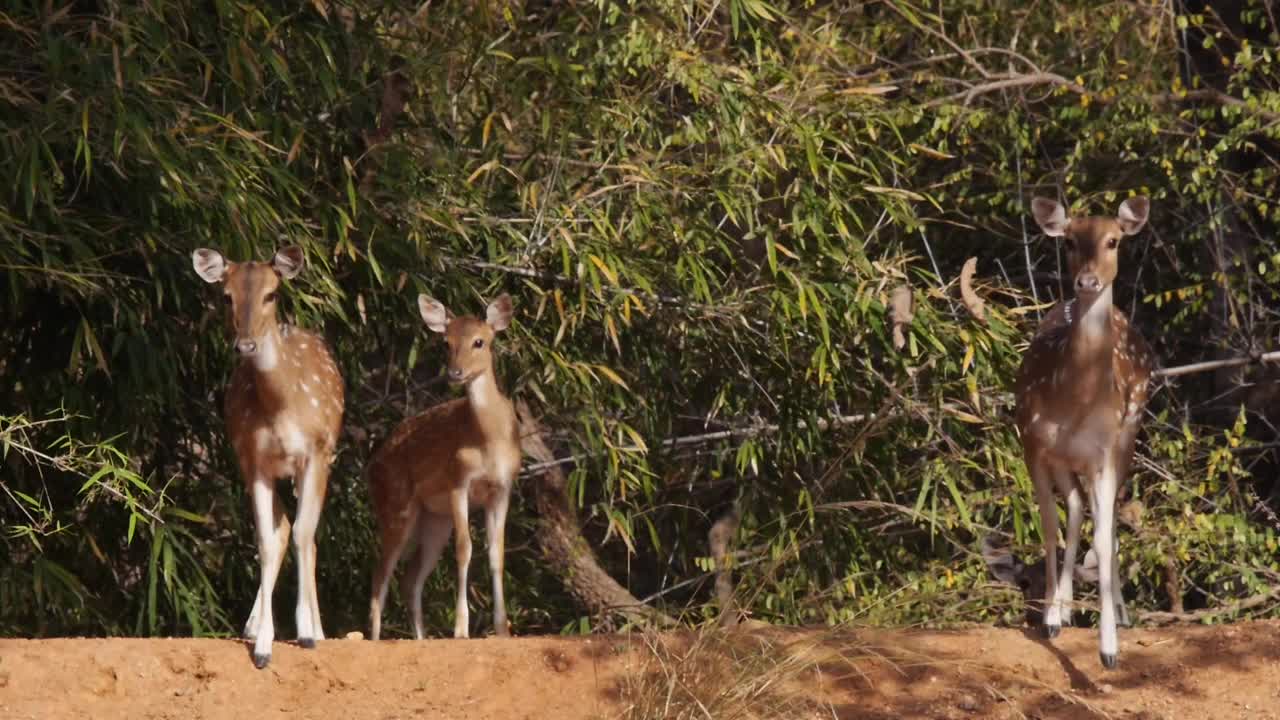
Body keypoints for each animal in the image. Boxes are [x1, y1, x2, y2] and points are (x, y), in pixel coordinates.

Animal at [186, 244, 343, 666]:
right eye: (226, 296)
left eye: (271, 294)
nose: (245, 346)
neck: (282, 407)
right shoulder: (254, 460)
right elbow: (267, 541)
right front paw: (262, 646)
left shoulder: (315, 453)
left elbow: (304, 533)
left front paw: (306, 633)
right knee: (283, 527)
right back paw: (254, 625)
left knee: (306, 532)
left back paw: (319, 629)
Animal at [366, 292, 519, 638]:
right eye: (446, 343)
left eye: (479, 341)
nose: (455, 373)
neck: (488, 439)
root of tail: (371, 466)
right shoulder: (457, 480)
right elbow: (464, 549)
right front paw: (461, 629)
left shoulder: (502, 488)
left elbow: (497, 554)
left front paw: (502, 629)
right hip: (396, 506)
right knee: (380, 576)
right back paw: (374, 638)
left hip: (434, 520)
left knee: (409, 579)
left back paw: (421, 638)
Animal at [1013, 194, 1157, 666]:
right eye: (1070, 241)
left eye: (1113, 241)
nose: (1088, 281)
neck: (1073, 399)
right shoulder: (1033, 444)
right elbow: (1049, 526)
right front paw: (1050, 619)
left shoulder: (1104, 452)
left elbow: (1103, 529)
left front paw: (1108, 647)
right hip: (1065, 459)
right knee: (1075, 508)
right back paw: (1063, 608)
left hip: (1128, 435)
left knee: (1102, 521)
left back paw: (1120, 614)